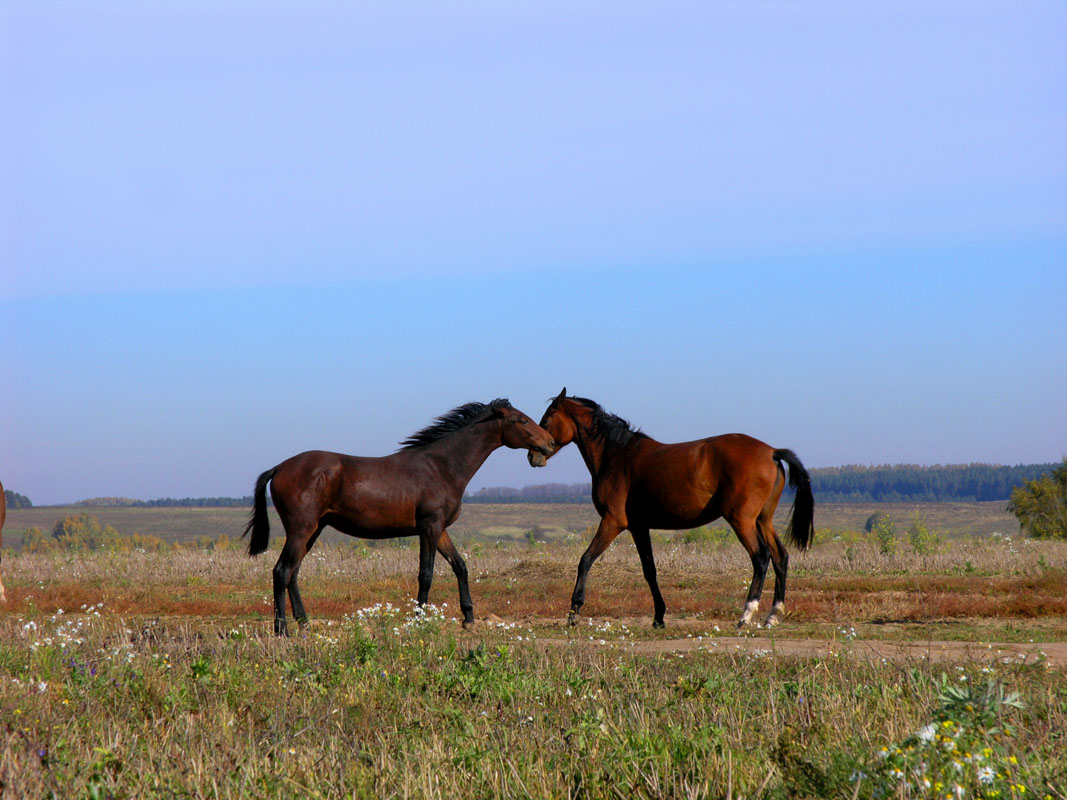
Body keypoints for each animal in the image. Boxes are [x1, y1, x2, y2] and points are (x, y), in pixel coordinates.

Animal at [244, 401, 554, 640]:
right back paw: (282, 630)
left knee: (293, 573)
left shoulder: (440, 530)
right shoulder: (429, 528)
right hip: (301, 530)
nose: (549, 443)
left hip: (313, 531)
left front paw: (468, 619)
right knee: (281, 571)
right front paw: (418, 620)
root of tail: (279, 467)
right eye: (521, 419)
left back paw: (304, 623)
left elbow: (460, 566)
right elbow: (426, 574)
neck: (442, 467)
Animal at [529, 392, 810, 631]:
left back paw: (746, 615)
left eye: (546, 420)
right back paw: (772, 616)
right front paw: (659, 617)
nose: (533, 457)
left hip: (742, 521)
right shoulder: (639, 527)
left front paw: (574, 611)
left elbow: (586, 560)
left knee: (761, 557)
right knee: (780, 557)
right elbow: (649, 571)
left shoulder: (612, 522)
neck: (617, 455)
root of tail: (771, 452)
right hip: (763, 520)